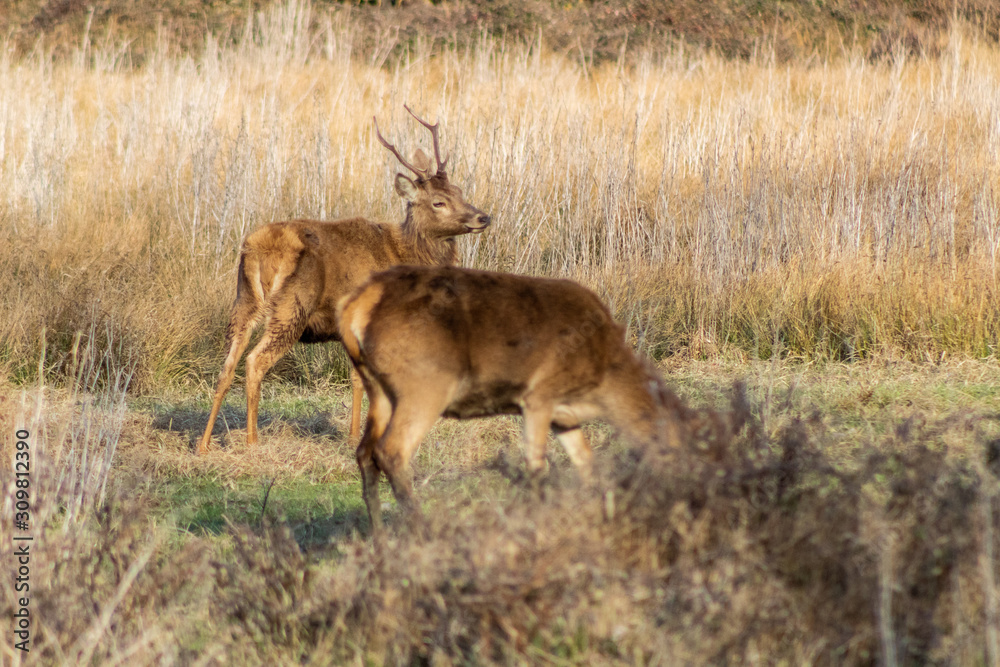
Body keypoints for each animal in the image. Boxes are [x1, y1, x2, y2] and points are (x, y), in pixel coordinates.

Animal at [193, 107, 490, 456]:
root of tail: (258, 248)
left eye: (459, 192)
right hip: (292, 305)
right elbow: (363, 379)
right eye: (438, 202)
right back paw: (253, 442)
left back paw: (204, 444)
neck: (403, 253)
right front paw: (356, 438)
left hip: (243, 300)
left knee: (227, 365)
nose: (482, 217)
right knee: (255, 361)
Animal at [336, 264, 688, 532]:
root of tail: (356, 308)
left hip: (378, 388)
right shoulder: (539, 396)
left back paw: (381, 538)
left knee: (365, 453)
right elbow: (536, 466)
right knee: (392, 450)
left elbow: (586, 463)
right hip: (425, 383)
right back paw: (422, 530)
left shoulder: (564, 416)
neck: (602, 378)